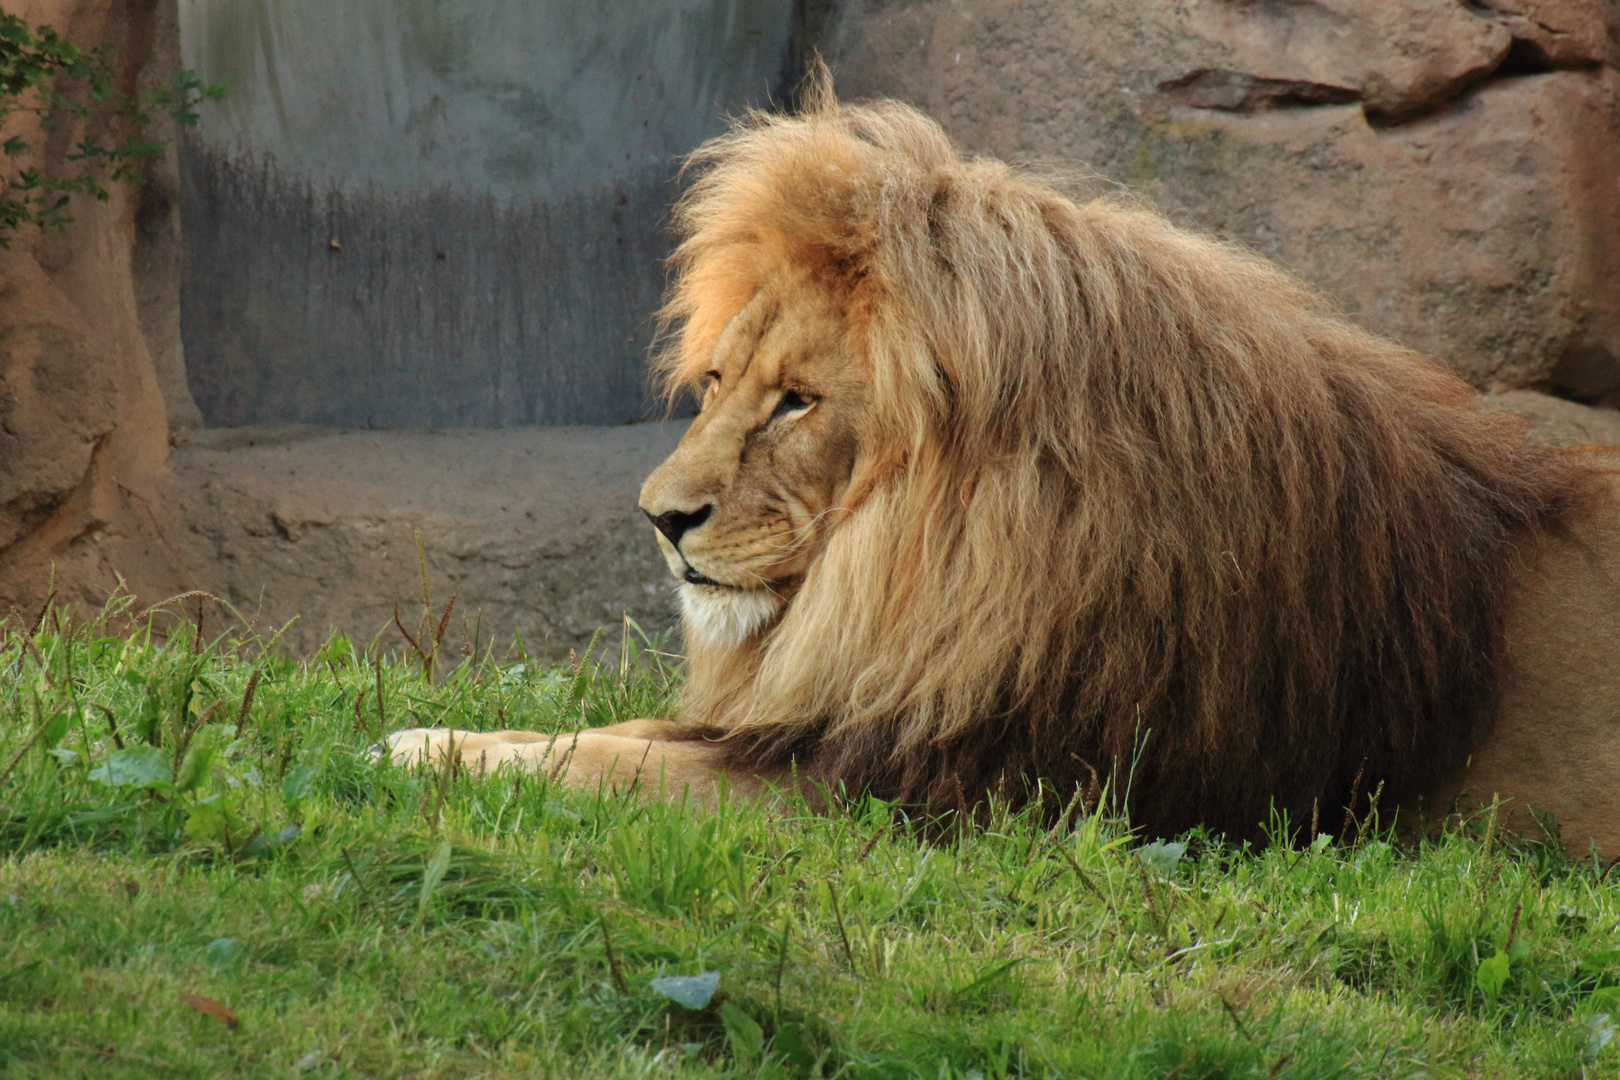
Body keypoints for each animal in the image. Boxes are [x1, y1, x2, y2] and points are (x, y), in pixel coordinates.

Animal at [388, 74, 1620, 854]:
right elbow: (616, 737)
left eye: (797, 402)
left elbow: (617, 766)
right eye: (720, 384)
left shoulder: (940, 788)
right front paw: (441, 731)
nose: (659, 517)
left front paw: (415, 748)